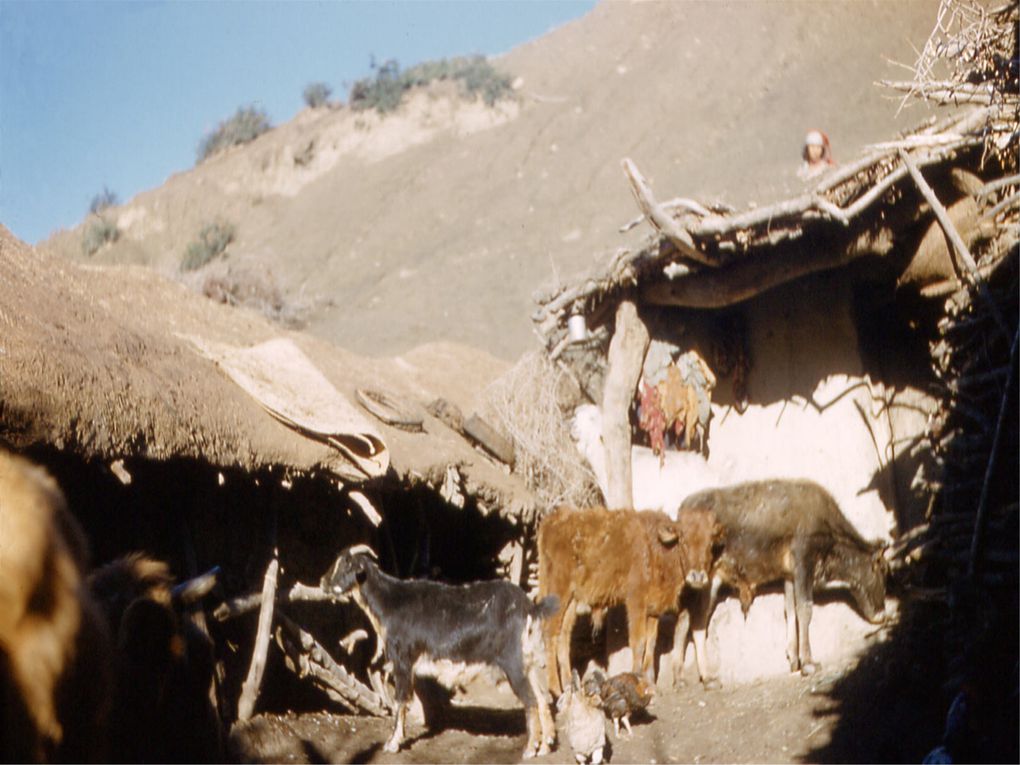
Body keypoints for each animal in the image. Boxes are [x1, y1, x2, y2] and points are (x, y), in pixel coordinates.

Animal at [318, 546, 558, 758]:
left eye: (347, 567)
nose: (323, 582)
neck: (390, 603)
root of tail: (530, 607)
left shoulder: (402, 659)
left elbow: (400, 700)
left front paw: (392, 743)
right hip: (530, 661)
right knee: (542, 697)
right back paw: (546, 746)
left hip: (513, 663)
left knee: (531, 699)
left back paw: (530, 749)